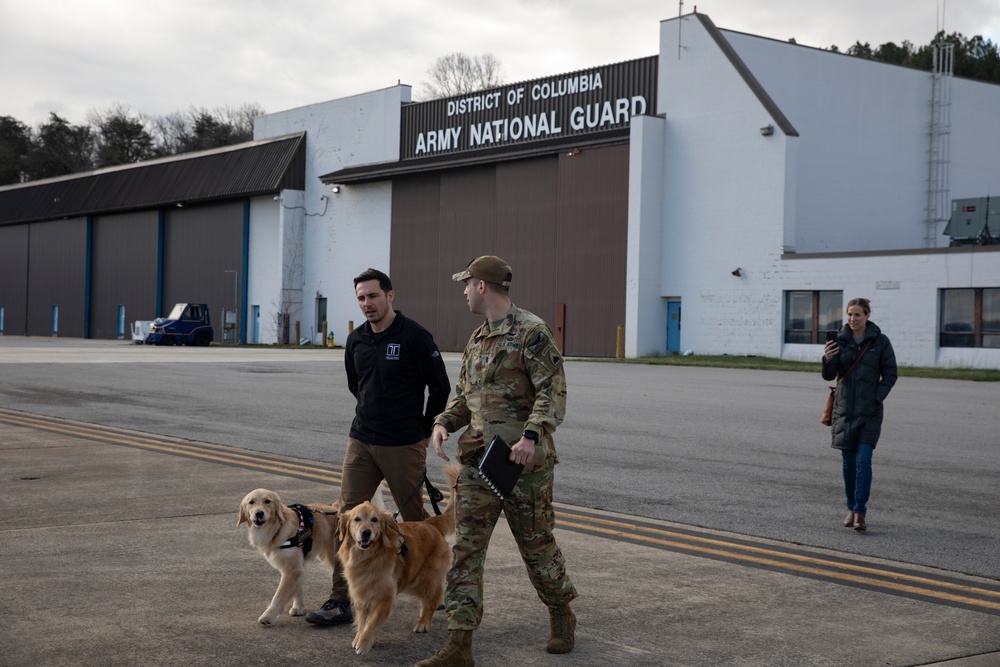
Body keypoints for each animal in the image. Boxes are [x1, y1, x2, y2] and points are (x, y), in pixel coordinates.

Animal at [238, 486, 386, 628]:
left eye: (267, 501)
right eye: (251, 502)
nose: (259, 513)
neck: (277, 527)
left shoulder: (292, 569)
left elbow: (279, 596)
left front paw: (268, 616)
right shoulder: (298, 567)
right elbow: (297, 588)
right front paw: (298, 607)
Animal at [338, 468, 458, 656]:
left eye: (375, 520)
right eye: (356, 519)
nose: (366, 533)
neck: (368, 557)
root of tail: (431, 523)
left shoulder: (386, 597)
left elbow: (371, 622)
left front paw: (363, 644)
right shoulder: (361, 593)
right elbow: (363, 621)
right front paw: (359, 638)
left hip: (425, 578)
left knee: (433, 598)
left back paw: (424, 622)